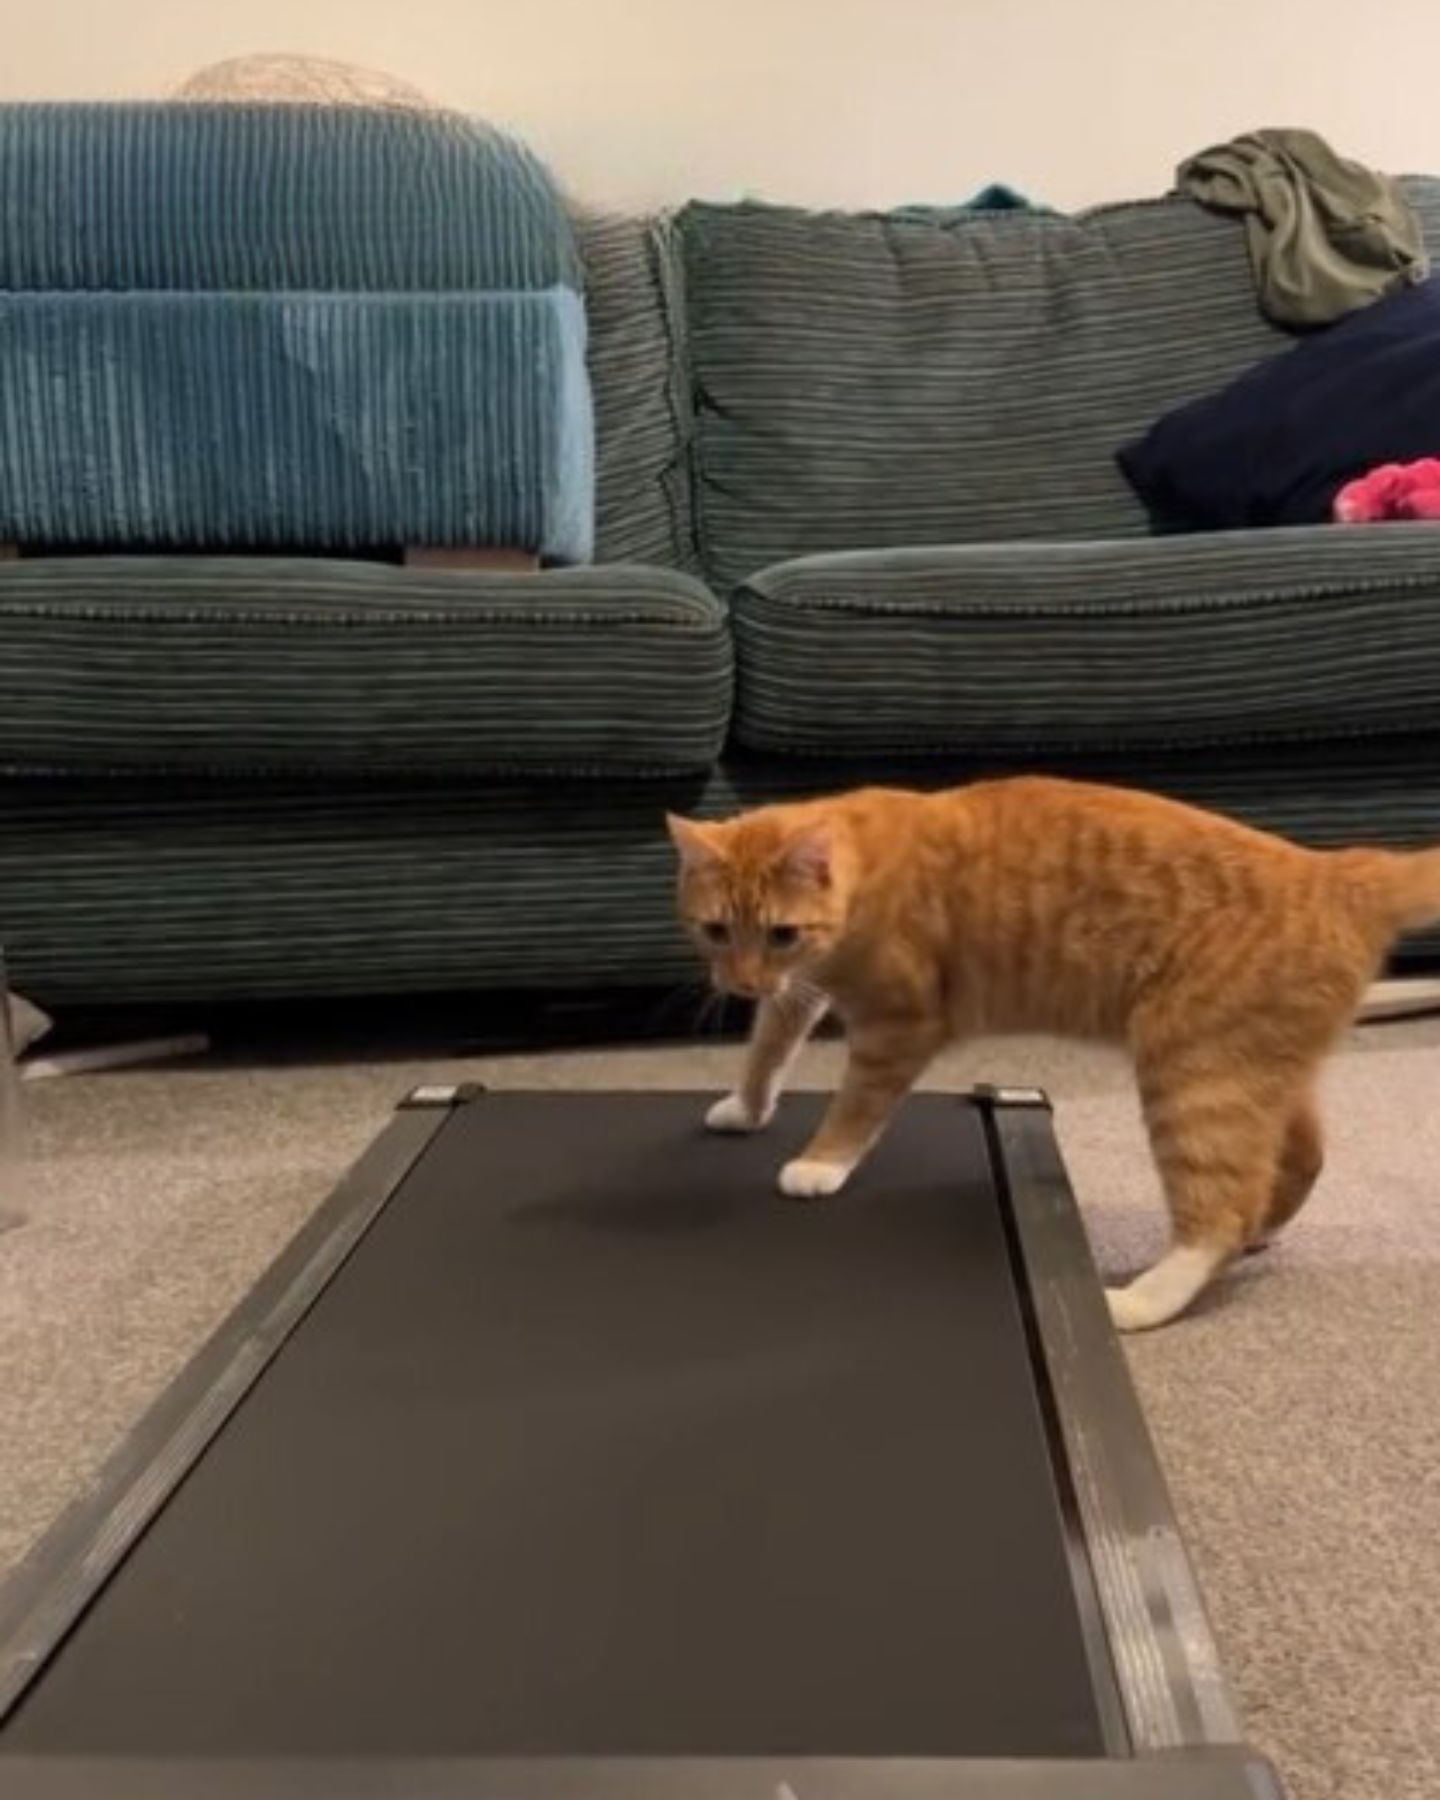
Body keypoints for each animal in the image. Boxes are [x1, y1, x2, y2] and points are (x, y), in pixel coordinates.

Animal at [666, 781, 1440, 1332]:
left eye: (781, 933)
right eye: (715, 930)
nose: (739, 982)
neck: (861, 869)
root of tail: (1340, 870)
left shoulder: (898, 1026)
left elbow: (855, 1106)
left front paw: (820, 1163)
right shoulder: (801, 993)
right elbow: (767, 1050)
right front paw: (746, 1107)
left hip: (1194, 1072)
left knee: (1219, 1211)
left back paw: (1143, 1299)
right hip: (1258, 1069)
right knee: (1297, 1162)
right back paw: (1264, 1230)